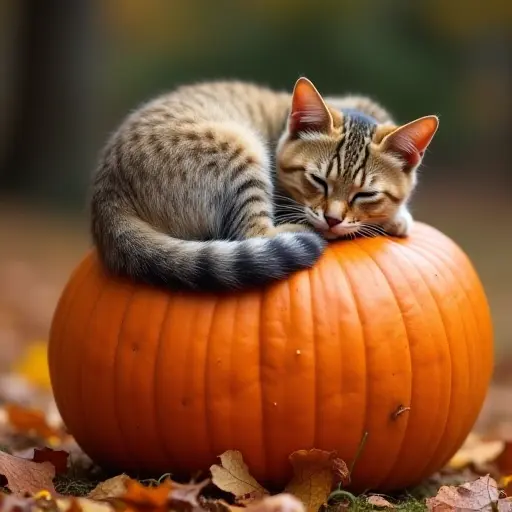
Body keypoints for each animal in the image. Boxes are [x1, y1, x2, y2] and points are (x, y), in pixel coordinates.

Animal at [90, 77, 438, 290]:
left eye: (365, 194)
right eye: (317, 180)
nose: (332, 219)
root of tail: (107, 195)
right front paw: (394, 219)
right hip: (240, 149)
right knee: (251, 233)